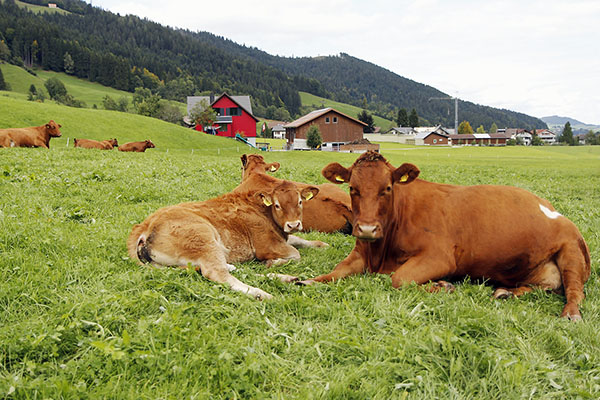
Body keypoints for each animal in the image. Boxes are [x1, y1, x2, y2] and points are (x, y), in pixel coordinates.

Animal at [125, 181, 324, 300]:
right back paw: (261, 293)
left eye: (300, 202)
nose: (293, 224)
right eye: (277, 205)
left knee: (231, 269)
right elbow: (295, 253)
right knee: (217, 272)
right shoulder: (266, 245)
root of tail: (145, 225)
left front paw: (320, 244)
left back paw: (285, 278)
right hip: (204, 238)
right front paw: (272, 262)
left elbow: (298, 240)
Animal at [300, 152, 592, 320]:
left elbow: (399, 279)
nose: (368, 229)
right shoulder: (360, 252)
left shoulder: (439, 257)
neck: (380, 254)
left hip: (571, 252)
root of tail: (554, 209)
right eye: (352, 188)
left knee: (575, 291)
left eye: (387, 188)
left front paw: (442, 286)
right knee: (544, 287)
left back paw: (570, 315)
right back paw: (505, 293)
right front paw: (306, 280)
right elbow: (334, 272)